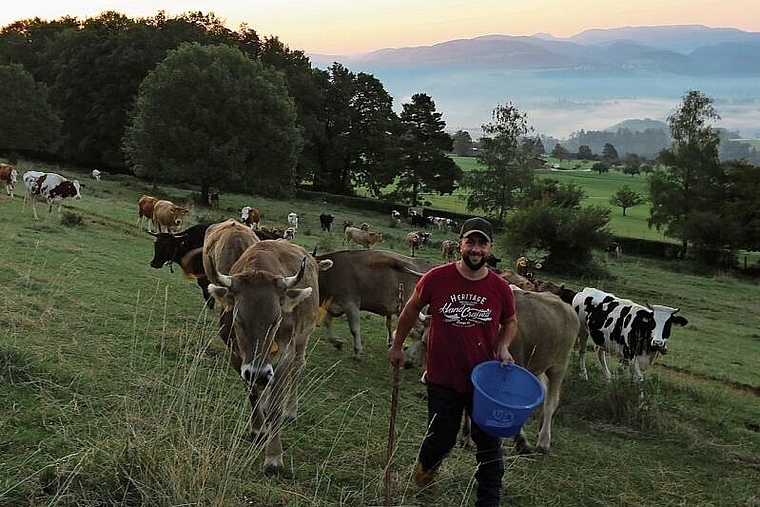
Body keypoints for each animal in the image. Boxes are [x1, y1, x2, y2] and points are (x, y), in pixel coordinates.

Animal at [205, 240, 332, 474]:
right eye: (238, 318)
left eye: (276, 319)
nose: (259, 372)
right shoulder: (237, 358)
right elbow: (253, 395)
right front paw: (257, 430)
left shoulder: (284, 355)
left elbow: (275, 408)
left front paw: (273, 457)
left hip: (302, 339)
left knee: (298, 368)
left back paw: (291, 410)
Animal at [404, 290, 580, 456]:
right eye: (425, 342)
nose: (427, 377)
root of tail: (567, 308)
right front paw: (466, 437)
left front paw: (521, 442)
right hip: (538, 367)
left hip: (559, 365)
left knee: (551, 401)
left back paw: (543, 441)